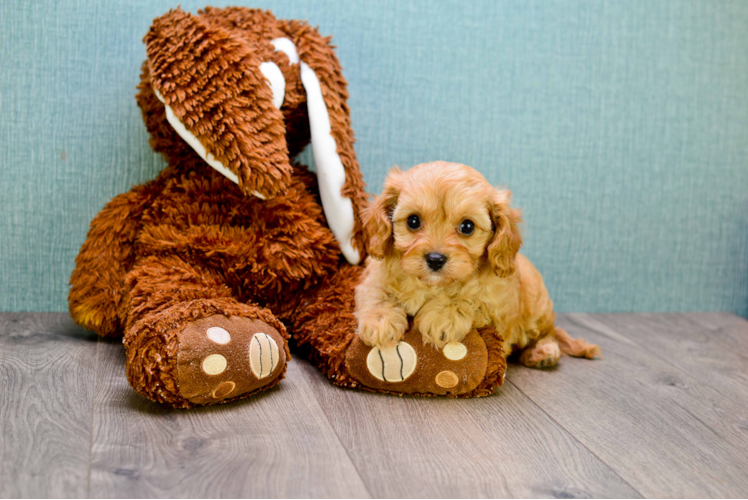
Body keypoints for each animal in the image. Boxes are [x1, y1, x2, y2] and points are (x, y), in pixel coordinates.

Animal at [354, 161, 600, 368]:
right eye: (413, 221)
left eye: (467, 227)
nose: (435, 259)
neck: (434, 285)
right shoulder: (373, 276)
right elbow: (377, 293)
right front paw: (379, 322)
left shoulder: (497, 306)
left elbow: (470, 300)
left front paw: (441, 316)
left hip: (538, 309)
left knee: (548, 333)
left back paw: (543, 352)